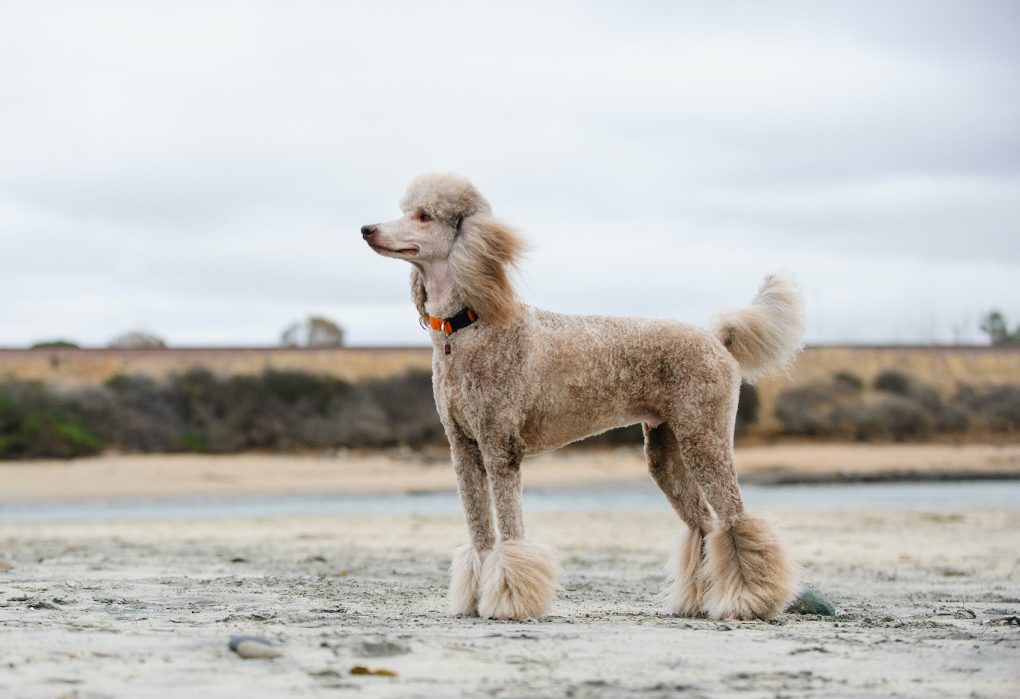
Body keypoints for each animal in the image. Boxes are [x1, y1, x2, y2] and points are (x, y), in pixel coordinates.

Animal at [363, 171, 799, 620]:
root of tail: (717, 341)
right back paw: (697, 602)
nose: (366, 229)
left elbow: (511, 537)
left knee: (735, 520)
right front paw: (473, 599)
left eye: (424, 216)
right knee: (704, 526)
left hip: (704, 436)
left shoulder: (500, 446)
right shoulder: (463, 448)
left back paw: (750, 600)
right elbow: (480, 540)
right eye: (405, 210)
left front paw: (509, 600)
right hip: (666, 448)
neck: (469, 325)